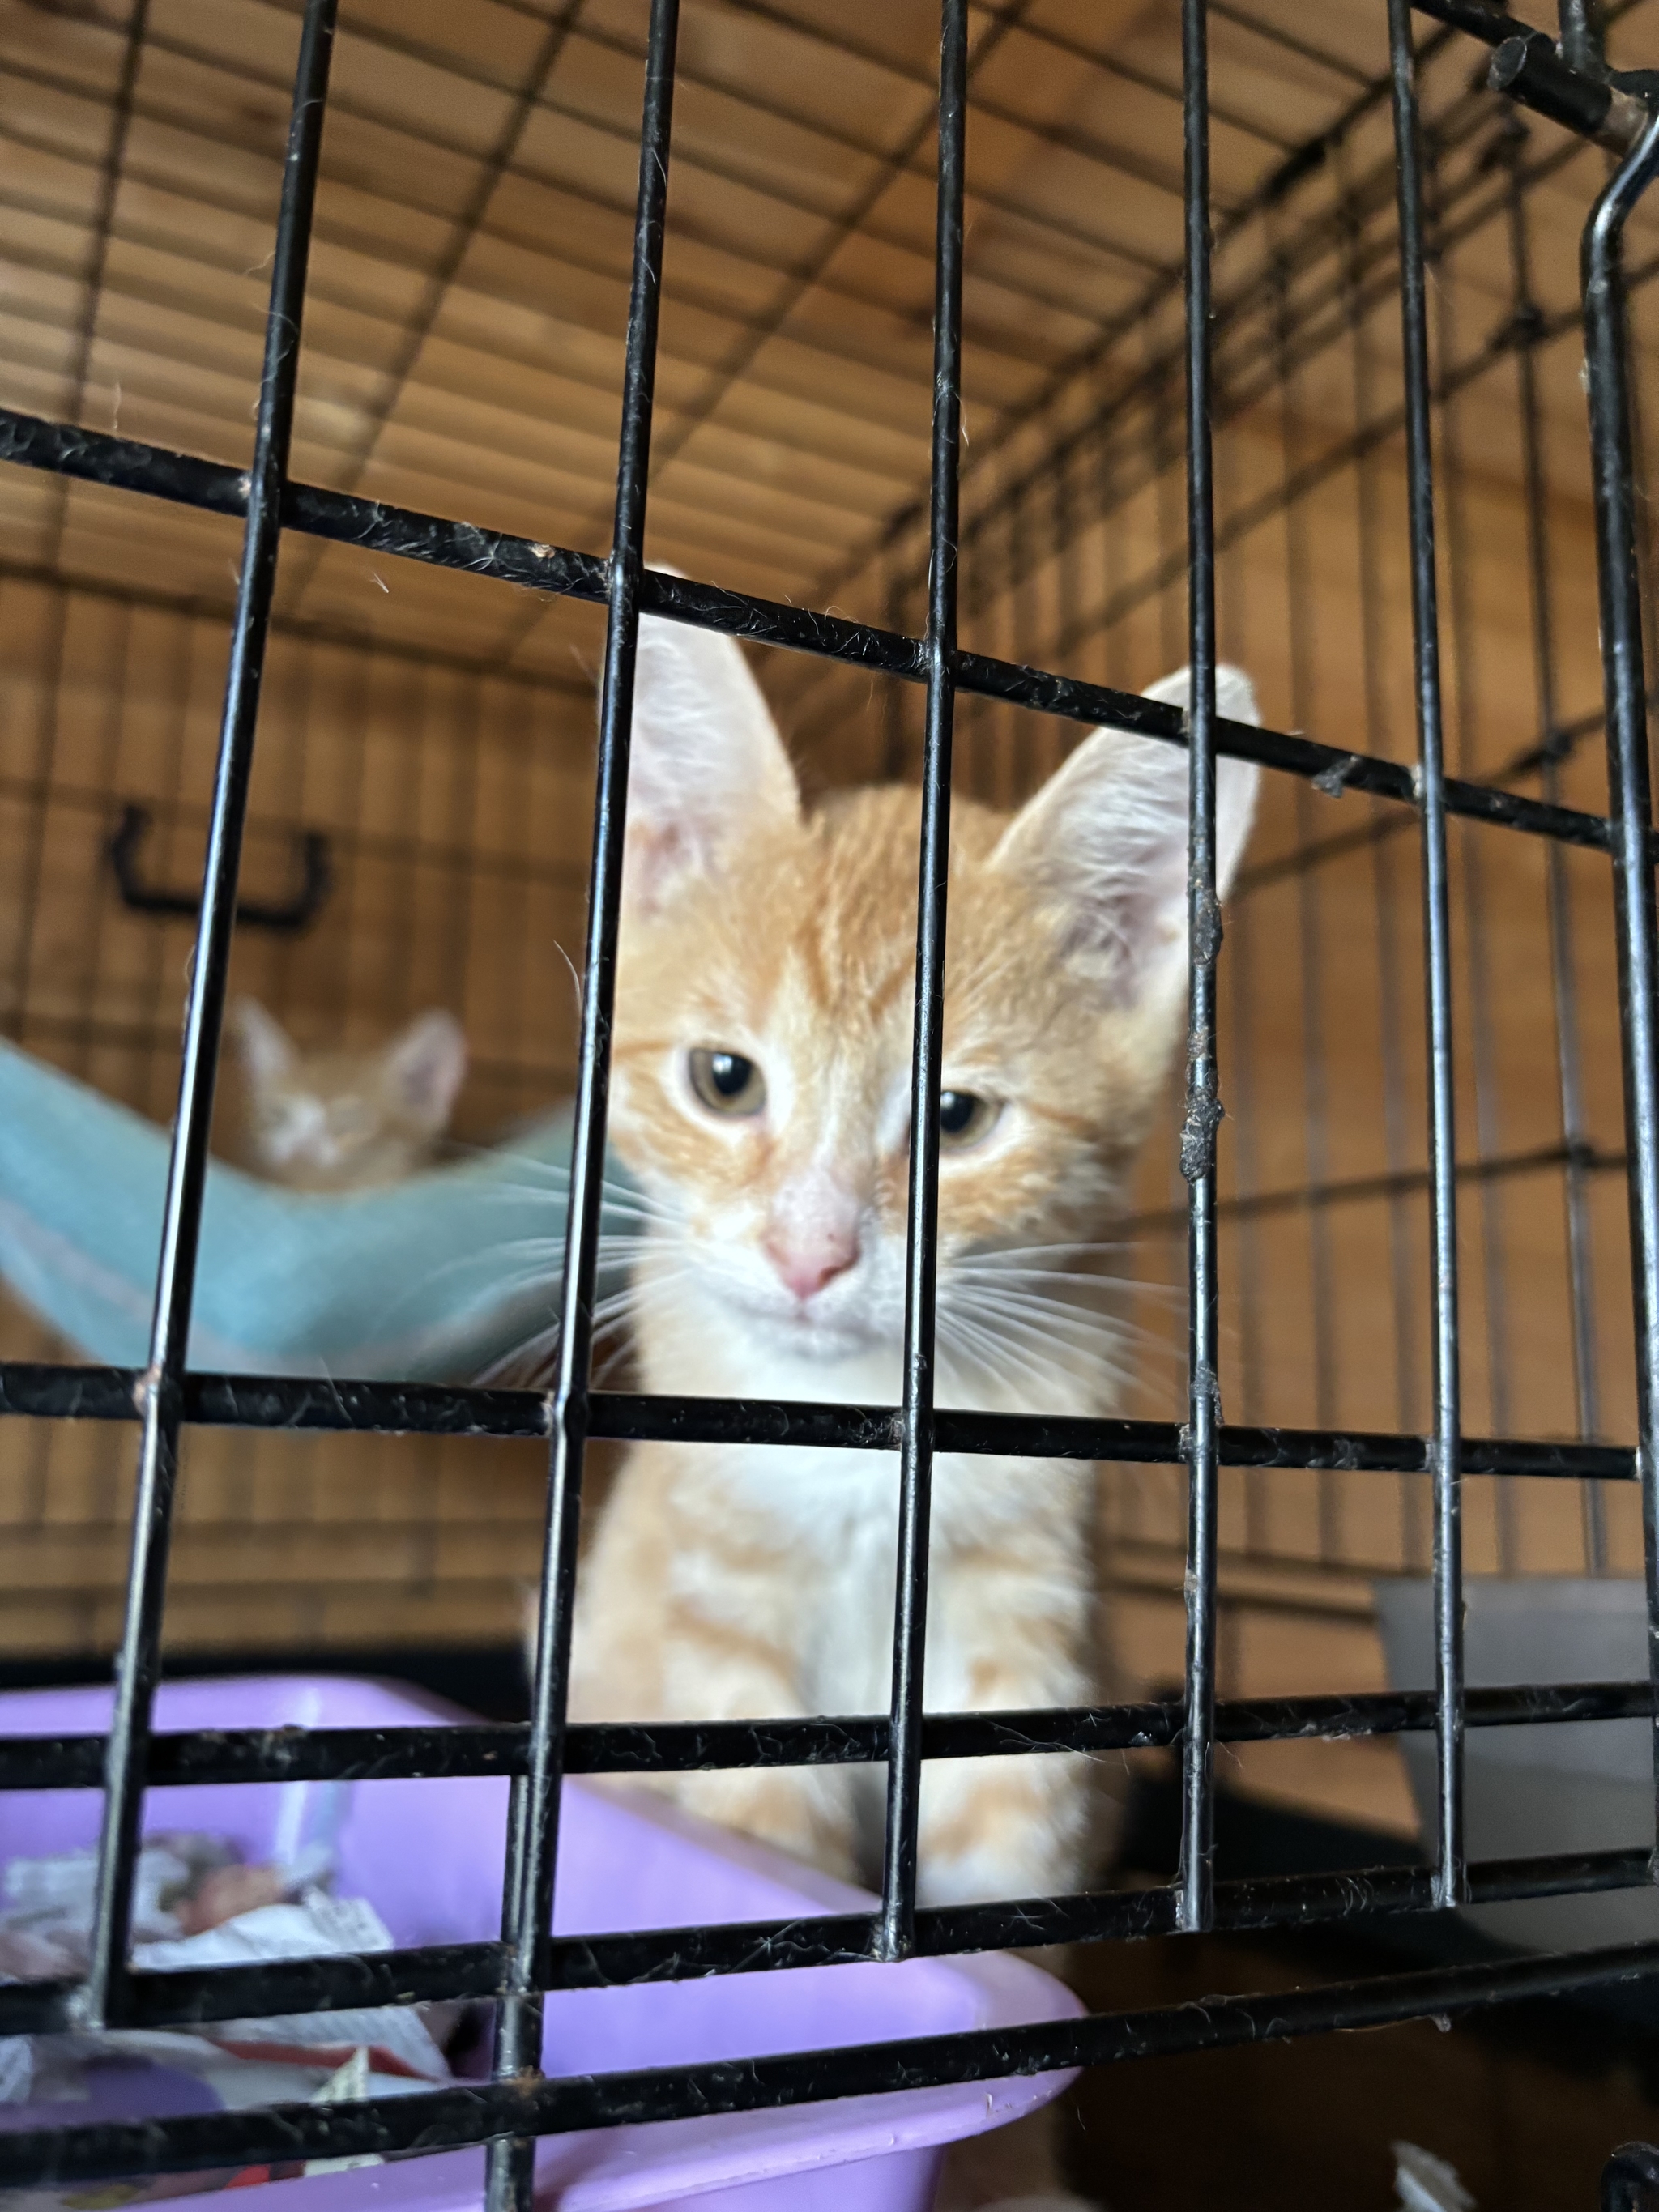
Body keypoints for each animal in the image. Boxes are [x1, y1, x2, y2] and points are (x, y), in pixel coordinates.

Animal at [570, 615, 1256, 1929]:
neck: (856, 1427)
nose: (810, 1253)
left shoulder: (1026, 1618)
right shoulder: (724, 1619)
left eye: (956, 1117)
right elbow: (763, 1829)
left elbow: (1009, 1851)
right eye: (724, 1079)